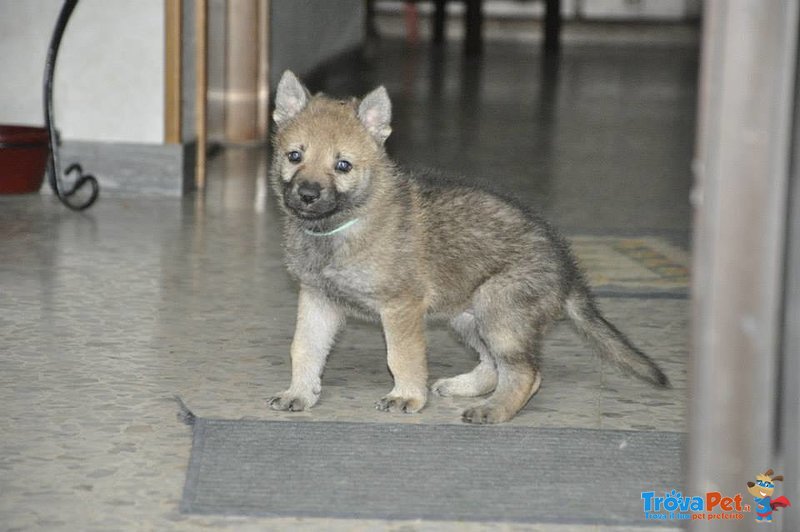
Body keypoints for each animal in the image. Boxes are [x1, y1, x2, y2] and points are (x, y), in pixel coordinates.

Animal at [268, 69, 668, 424]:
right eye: (294, 156)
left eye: (343, 165)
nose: (307, 195)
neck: (341, 226)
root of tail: (568, 269)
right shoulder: (318, 301)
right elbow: (304, 349)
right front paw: (299, 393)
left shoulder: (400, 308)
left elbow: (402, 357)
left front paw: (407, 396)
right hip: (467, 316)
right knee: (494, 367)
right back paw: (467, 389)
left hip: (498, 312)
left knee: (526, 373)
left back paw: (494, 410)